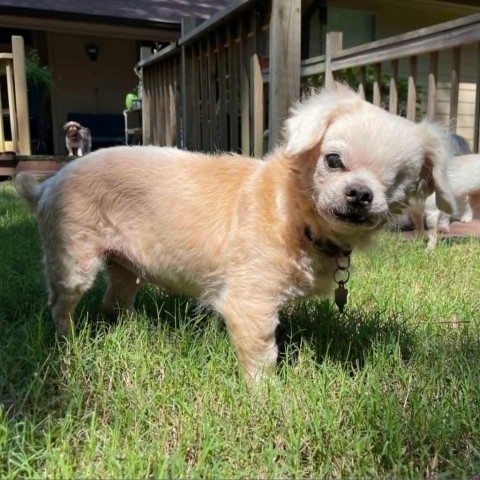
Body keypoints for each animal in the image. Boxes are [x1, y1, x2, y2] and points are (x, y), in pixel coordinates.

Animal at [16, 84, 456, 380]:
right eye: (333, 161)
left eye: (398, 182)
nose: (361, 194)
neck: (293, 211)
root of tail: (47, 184)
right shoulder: (249, 304)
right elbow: (263, 356)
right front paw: (267, 398)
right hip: (74, 265)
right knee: (60, 307)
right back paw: (68, 344)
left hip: (126, 270)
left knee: (114, 304)